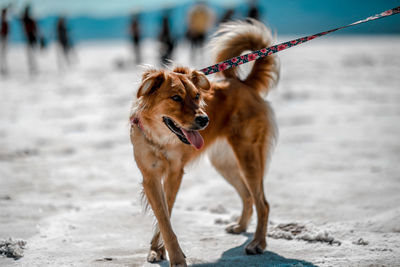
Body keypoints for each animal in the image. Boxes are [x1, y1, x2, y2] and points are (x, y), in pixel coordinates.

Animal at [130, 19, 280, 266]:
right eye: (176, 98)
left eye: (197, 96)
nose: (204, 120)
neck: (161, 139)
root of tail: (244, 84)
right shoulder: (150, 177)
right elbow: (163, 217)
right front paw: (159, 250)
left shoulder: (175, 173)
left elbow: (167, 214)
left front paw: (173, 256)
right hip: (224, 163)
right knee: (248, 195)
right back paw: (240, 227)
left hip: (248, 155)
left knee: (263, 203)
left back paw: (258, 243)